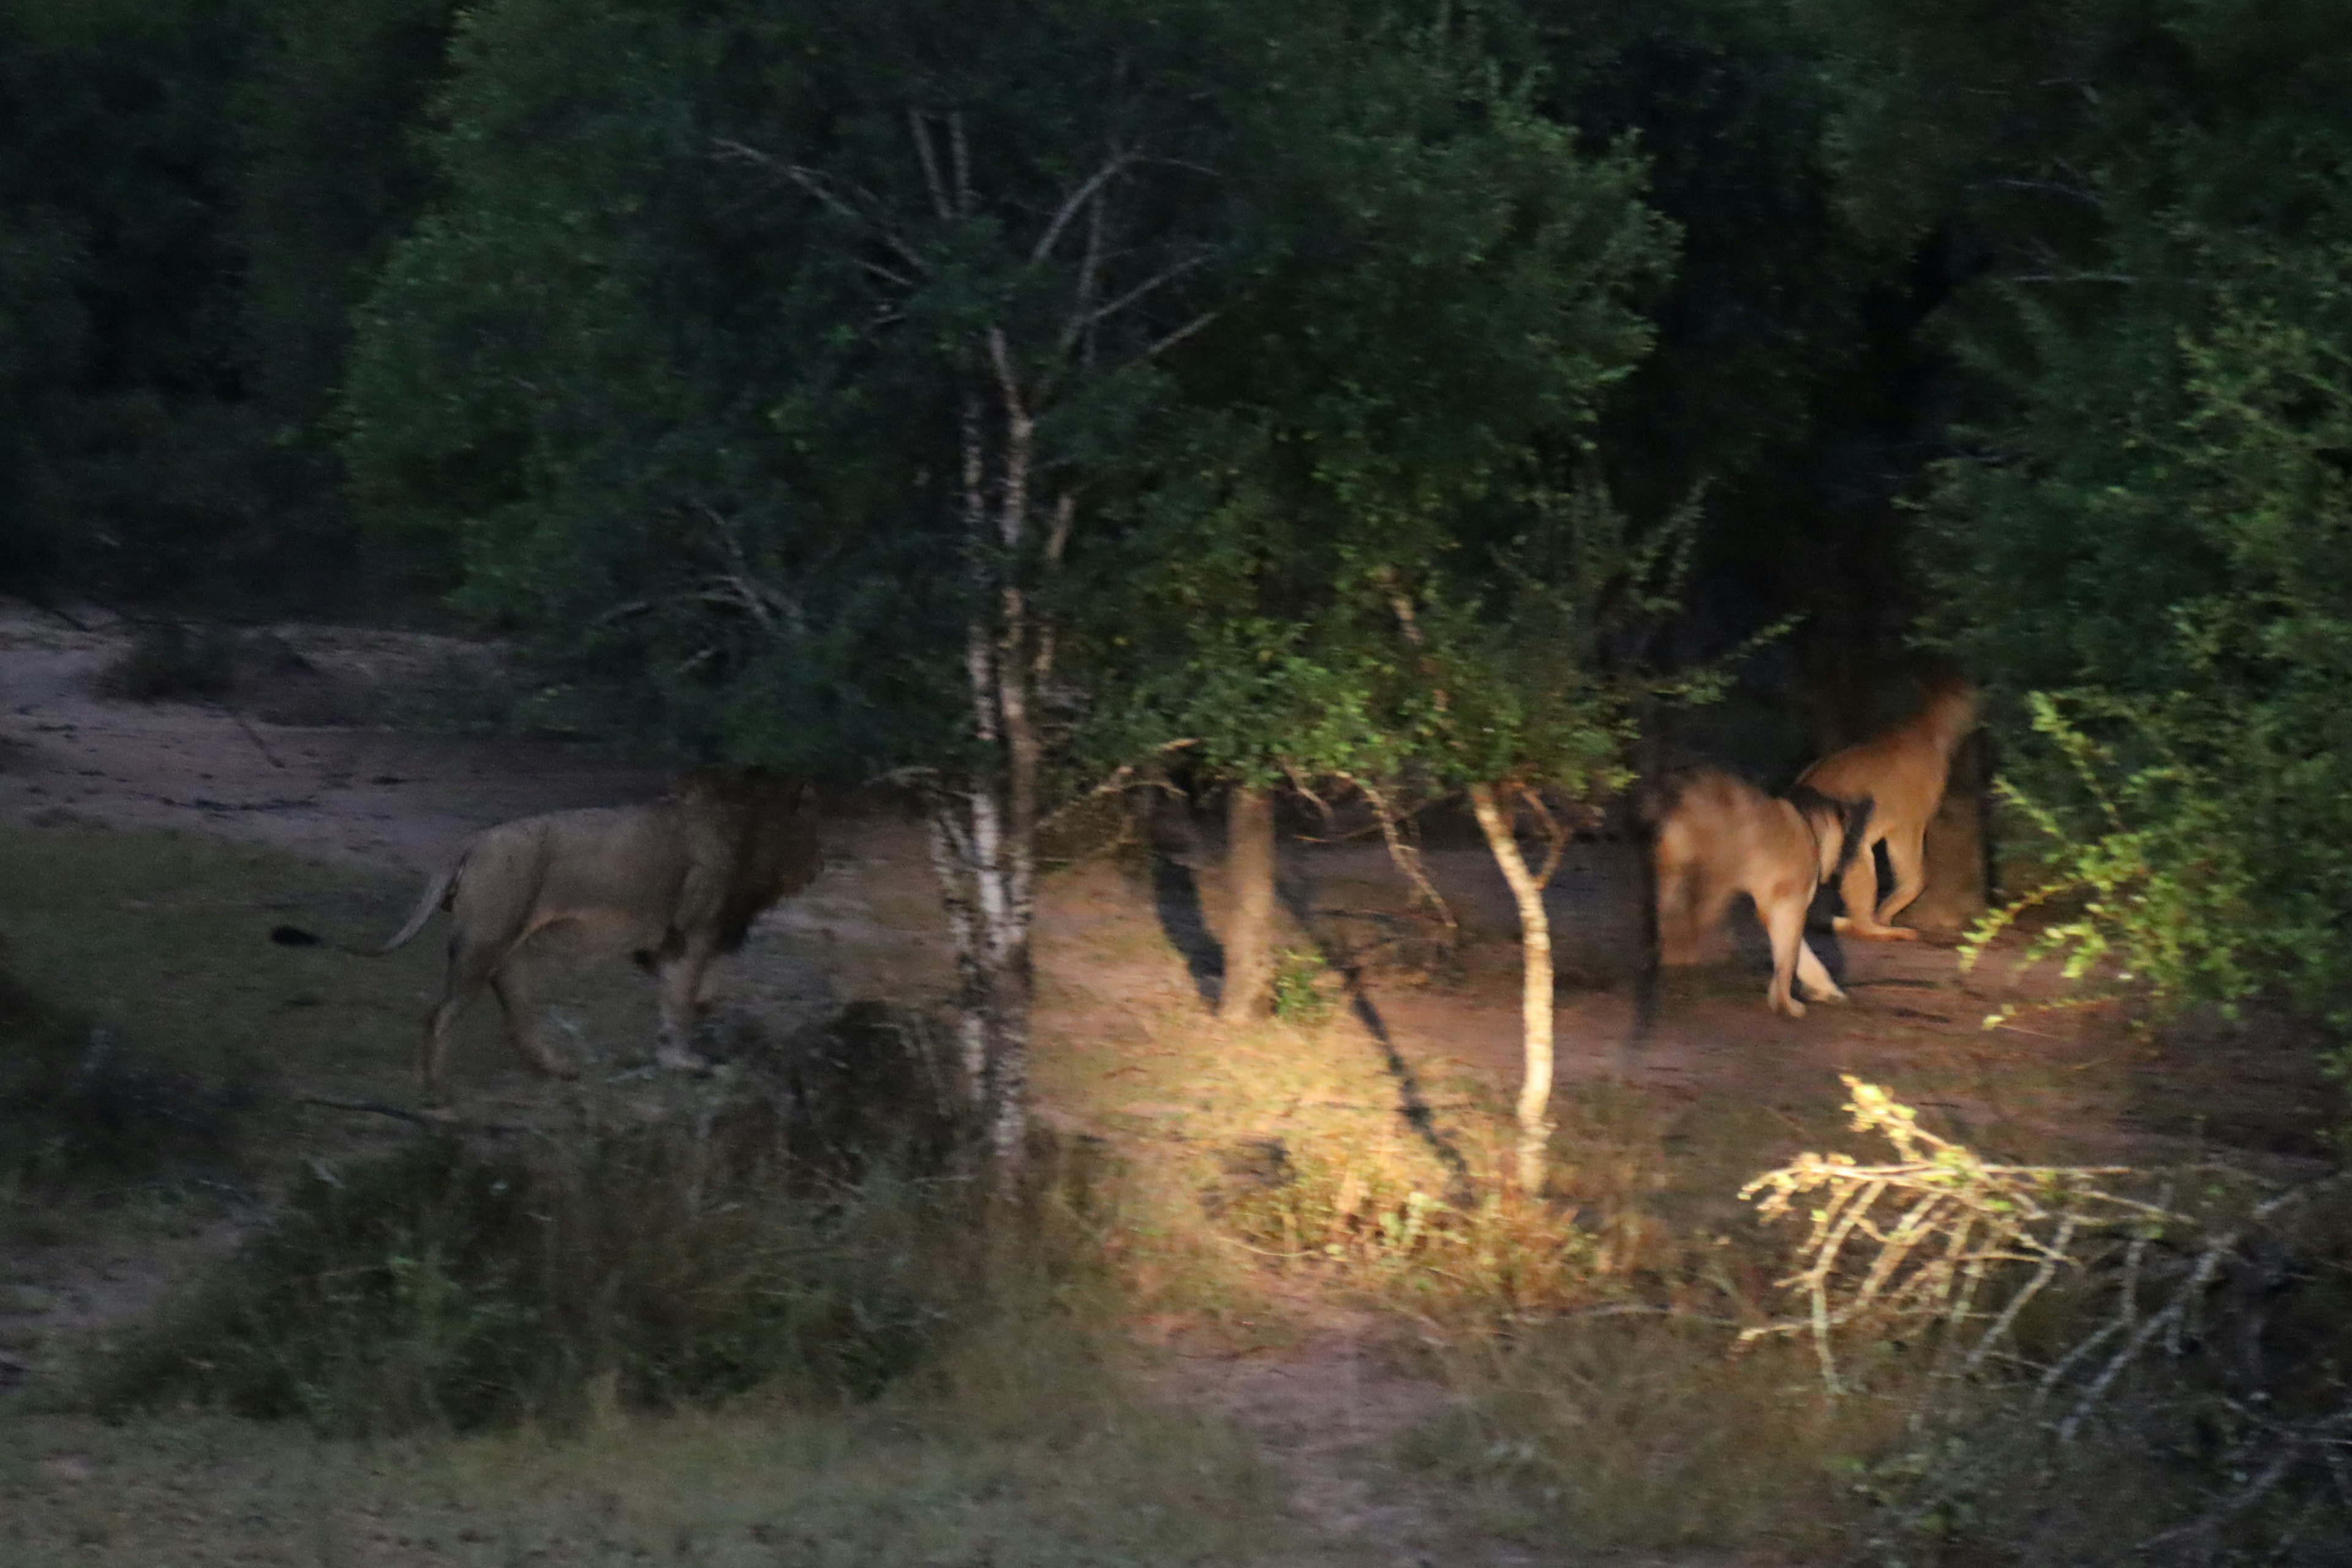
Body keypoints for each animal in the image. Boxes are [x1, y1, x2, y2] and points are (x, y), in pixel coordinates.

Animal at [271, 771, 827, 1104]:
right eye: (814, 841)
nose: (821, 869)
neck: (748, 831)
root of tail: (471, 842)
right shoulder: (692, 933)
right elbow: (681, 1002)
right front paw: (684, 1060)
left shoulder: (660, 946)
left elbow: (693, 990)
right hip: (485, 942)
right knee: (440, 1016)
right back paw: (438, 1093)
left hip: (512, 952)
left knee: (517, 1022)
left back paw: (557, 1069)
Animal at [1656, 771, 1872, 1020]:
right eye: (1851, 842)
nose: (1842, 873)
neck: (1811, 826)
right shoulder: (1791, 901)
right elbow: (1789, 955)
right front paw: (1786, 1005)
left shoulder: (1769, 903)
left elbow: (1797, 953)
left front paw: (1826, 991)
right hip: (1706, 880)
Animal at [1796, 677, 1985, 944]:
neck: (1932, 724)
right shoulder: (1908, 823)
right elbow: (1915, 876)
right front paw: (1886, 914)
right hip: (1854, 848)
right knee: (1860, 926)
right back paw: (1890, 931)